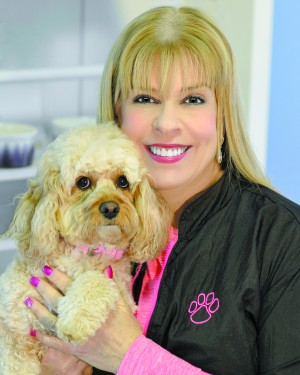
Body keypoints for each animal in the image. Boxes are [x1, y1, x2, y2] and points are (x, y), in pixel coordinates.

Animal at [0, 122, 170, 374]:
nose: (110, 208)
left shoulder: (122, 295)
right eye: (83, 182)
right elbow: (13, 359)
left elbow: (95, 280)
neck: (86, 252)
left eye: (123, 182)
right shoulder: (13, 329)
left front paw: (75, 320)